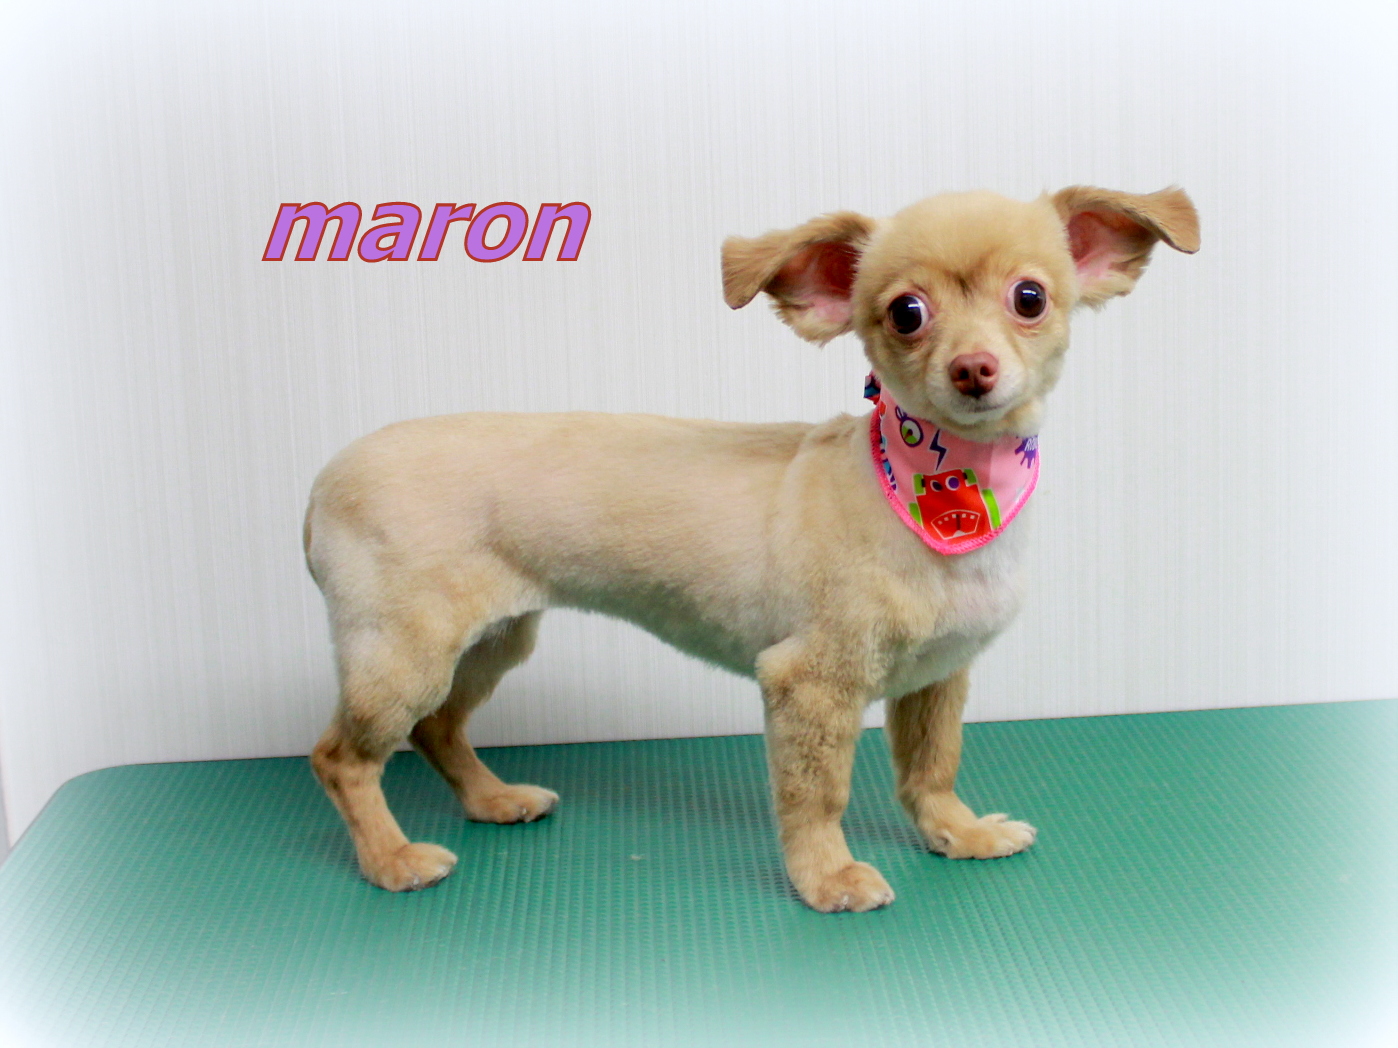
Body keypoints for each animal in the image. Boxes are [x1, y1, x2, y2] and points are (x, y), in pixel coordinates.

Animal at [304, 186, 1199, 912]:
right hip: (405, 652)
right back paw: (390, 859)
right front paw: (827, 879)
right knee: (342, 757)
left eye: (1029, 297)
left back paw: (492, 801)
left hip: (492, 641)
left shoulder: (937, 677)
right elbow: (817, 795)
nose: (973, 368)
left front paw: (961, 833)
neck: (946, 491)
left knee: (437, 729)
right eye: (906, 313)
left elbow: (931, 769)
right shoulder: (809, 684)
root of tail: (321, 486)